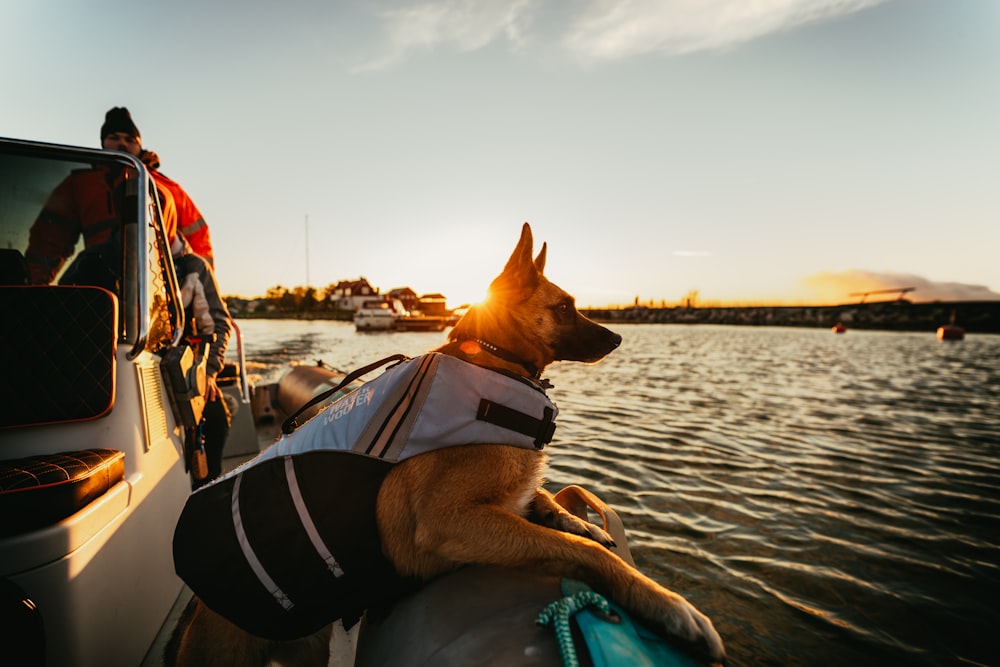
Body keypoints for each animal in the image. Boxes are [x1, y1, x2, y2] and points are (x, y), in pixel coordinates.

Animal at [168, 226, 724, 667]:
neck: (493, 359)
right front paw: (670, 606)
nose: (618, 338)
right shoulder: (447, 520)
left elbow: (547, 502)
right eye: (564, 306)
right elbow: (579, 550)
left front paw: (577, 518)